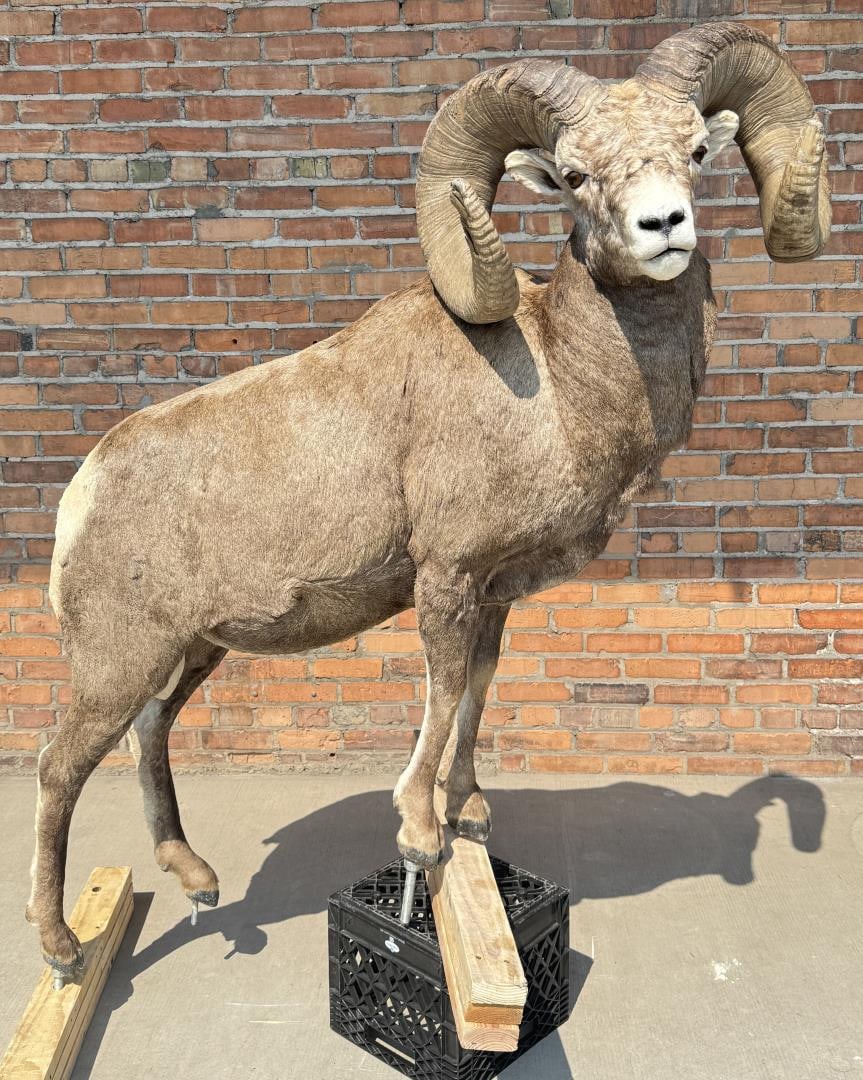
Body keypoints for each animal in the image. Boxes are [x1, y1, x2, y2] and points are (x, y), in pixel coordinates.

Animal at [30, 21, 830, 982]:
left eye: (696, 152)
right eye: (574, 175)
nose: (663, 226)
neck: (556, 387)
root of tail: (83, 494)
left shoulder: (493, 596)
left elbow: (478, 693)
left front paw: (469, 814)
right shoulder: (444, 580)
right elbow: (441, 695)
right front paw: (421, 837)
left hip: (190, 655)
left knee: (150, 734)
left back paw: (197, 880)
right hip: (117, 664)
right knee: (58, 768)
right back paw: (65, 951)